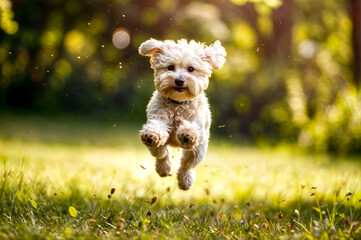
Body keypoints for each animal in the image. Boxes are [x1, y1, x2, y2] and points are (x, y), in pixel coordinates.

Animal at [138, 38, 225, 190]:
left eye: (191, 69)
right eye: (170, 67)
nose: (179, 80)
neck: (178, 103)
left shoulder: (198, 125)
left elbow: (191, 129)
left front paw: (187, 133)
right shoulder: (157, 116)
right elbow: (158, 138)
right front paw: (152, 134)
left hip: (198, 150)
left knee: (187, 165)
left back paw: (185, 180)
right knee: (163, 154)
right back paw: (163, 168)